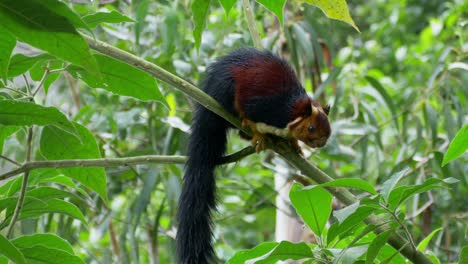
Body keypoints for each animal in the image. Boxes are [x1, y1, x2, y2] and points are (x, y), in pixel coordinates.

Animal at [176, 48, 332, 264]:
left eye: (328, 127)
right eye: (311, 128)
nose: (322, 142)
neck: (290, 113)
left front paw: (295, 146)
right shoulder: (261, 106)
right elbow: (248, 114)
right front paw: (258, 134)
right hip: (225, 90)